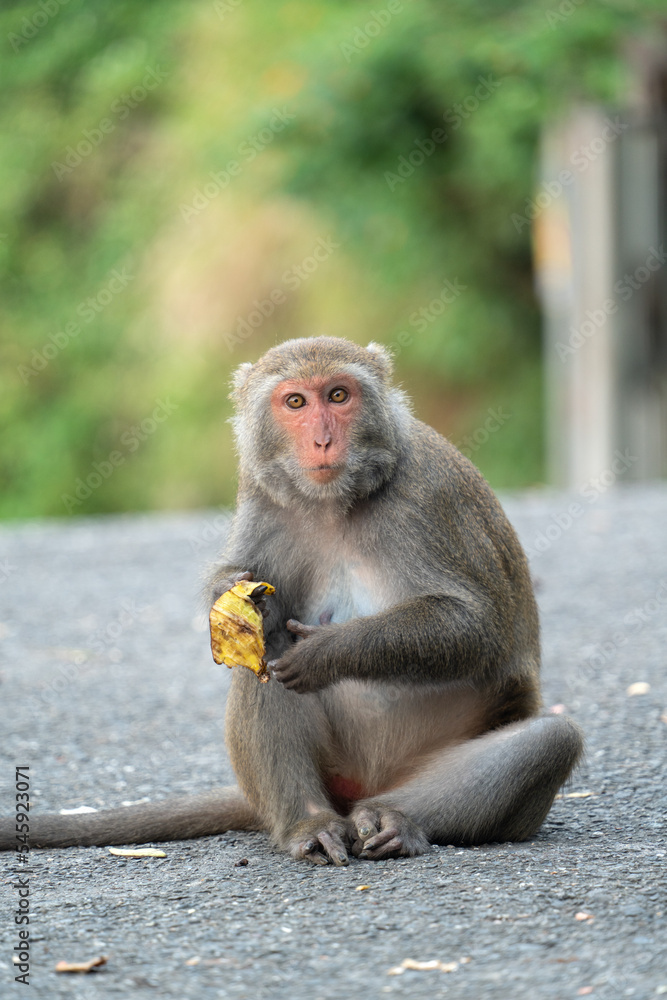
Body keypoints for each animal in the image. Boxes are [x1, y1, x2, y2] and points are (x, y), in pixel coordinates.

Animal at [0, 338, 580, 868]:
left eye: (339, 395)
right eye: (296, 402)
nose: (323, 439)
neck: (336, 505)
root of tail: (359, 793)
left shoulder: (428, 497)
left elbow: (475, 629)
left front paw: (328, 652)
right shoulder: (263, 499)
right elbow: (249, 613)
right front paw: (229, 597)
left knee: (551, 739)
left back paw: (396, 818)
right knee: (262, 656)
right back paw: (311, 823)